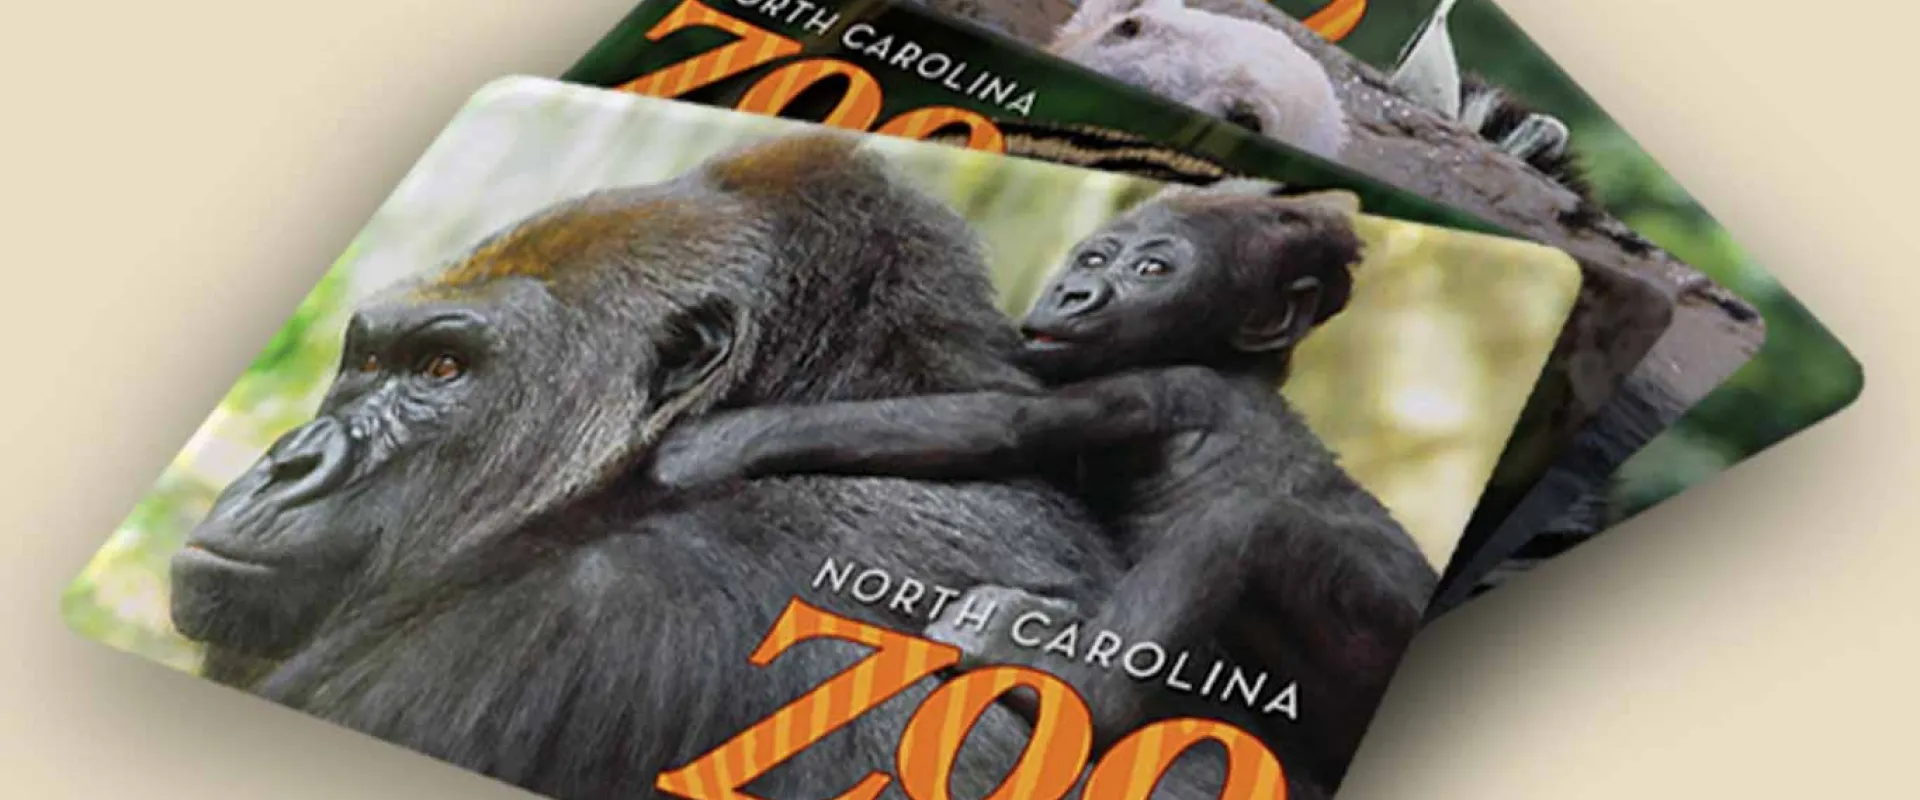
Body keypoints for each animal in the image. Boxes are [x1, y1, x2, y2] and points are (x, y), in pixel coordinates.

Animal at [645, 181, 1438, 789]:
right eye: (1093, 256)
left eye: (1154, 268)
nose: (1076, 292)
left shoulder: (1158, 386)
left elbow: (1004, 422)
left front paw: (721, 442)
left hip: (1383, 625)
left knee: (1248, 528)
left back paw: (1073, 688)